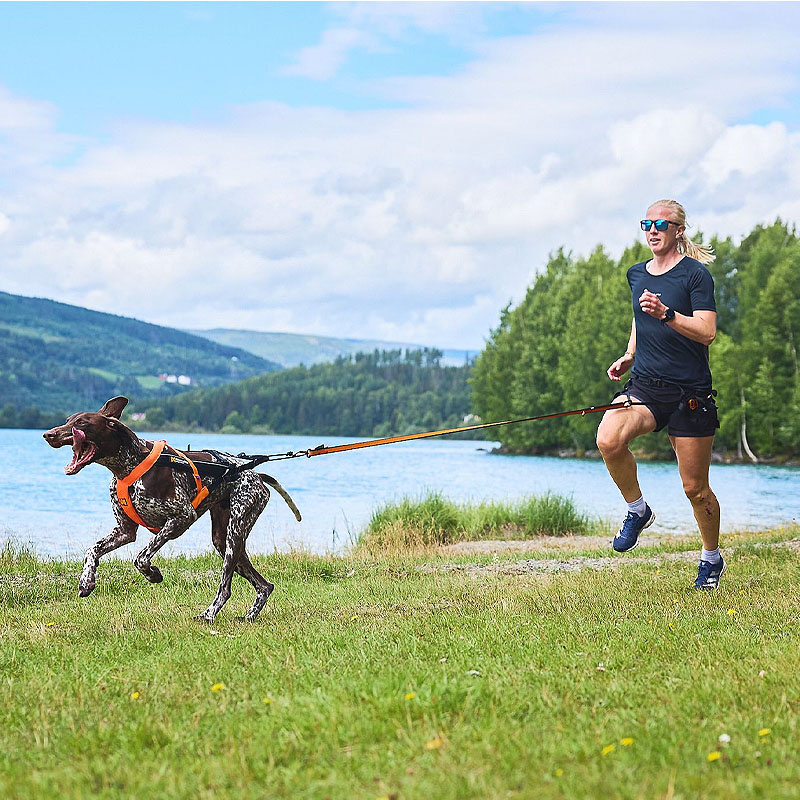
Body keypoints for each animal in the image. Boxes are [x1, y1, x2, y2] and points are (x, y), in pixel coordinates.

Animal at [42, 396, 302, 620]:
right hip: (224, 540)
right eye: (68, 420)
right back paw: (249, 616)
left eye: (82, 423)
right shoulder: (125, 531)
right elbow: (92, 550)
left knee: (226, 588)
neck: (129, 465)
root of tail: (254, 473)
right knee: (265, 585)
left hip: (234, 534)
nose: (48, 434)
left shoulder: (181, 517)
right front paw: (86, 580)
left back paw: (209, 614)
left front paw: (152, 574)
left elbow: (141, 557)